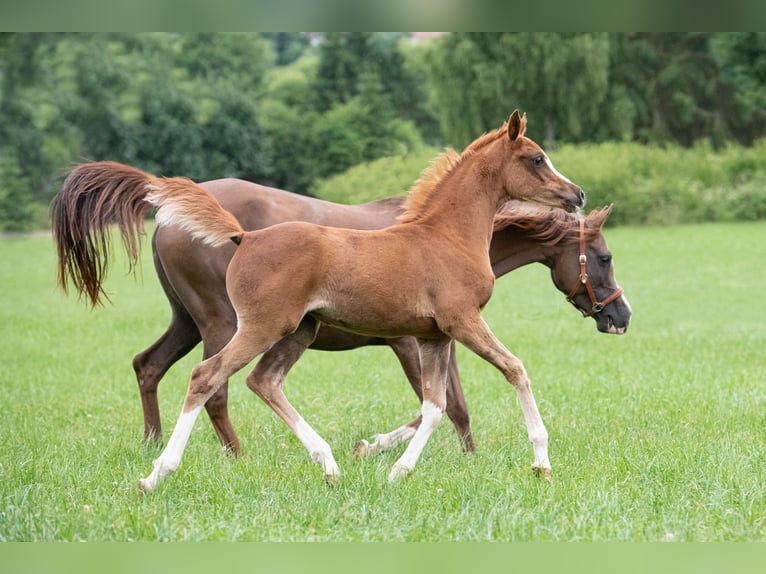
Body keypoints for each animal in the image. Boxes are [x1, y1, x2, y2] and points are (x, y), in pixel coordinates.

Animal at [59, 111, 592, 491]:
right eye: (537, 158)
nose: (579, 193)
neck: (447, 236)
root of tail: (244, 236)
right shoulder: (462, 322)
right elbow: (515, 370)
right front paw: (541, 463)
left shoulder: (433, 336)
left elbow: (437, 406)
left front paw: (397, 470)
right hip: (256, 325)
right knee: (208, 377)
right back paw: (158, 473)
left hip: (299, 329)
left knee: (260, 381)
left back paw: (329, 463)